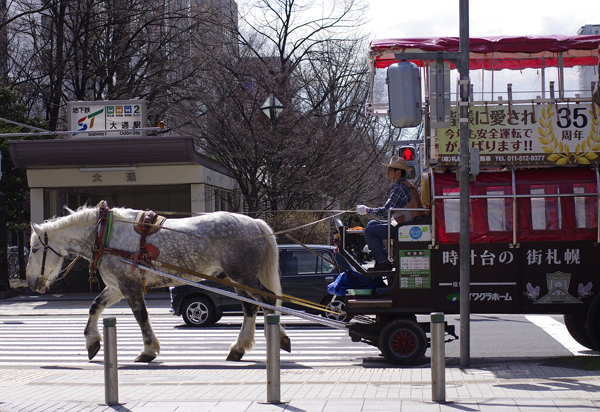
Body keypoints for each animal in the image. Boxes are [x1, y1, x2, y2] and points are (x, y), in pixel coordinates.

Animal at [26, 205, 290, 360]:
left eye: (35, 248)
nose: (30, 281)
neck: (105, 234)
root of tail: (255, 223)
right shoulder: (117, 286)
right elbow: (94, 307)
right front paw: (92, 341)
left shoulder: (129, 286)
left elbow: (141, 316)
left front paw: (148, 349)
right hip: (237, 279)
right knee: (251, 308)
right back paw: (240, 347)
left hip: (243, 276)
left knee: (267, 301)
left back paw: (277, 338)